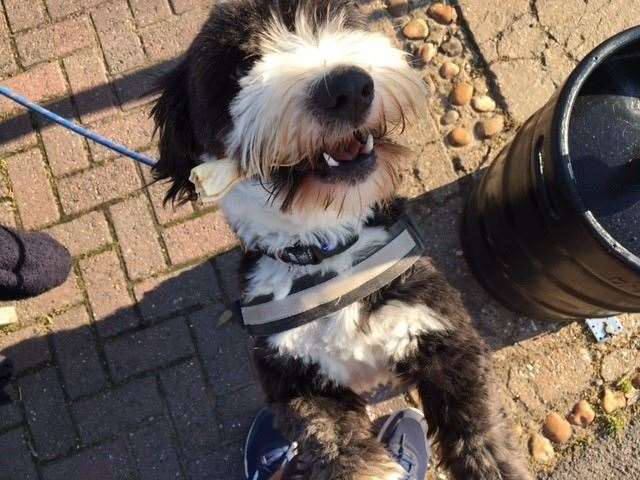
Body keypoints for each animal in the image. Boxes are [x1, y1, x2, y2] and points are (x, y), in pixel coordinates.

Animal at [151, 0, 528, 480]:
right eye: (243, 64)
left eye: (340, 20)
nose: (347, 88)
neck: (325, 254)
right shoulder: (298, 387)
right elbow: (335, 445)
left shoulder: (442, 334)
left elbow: (480, 434)